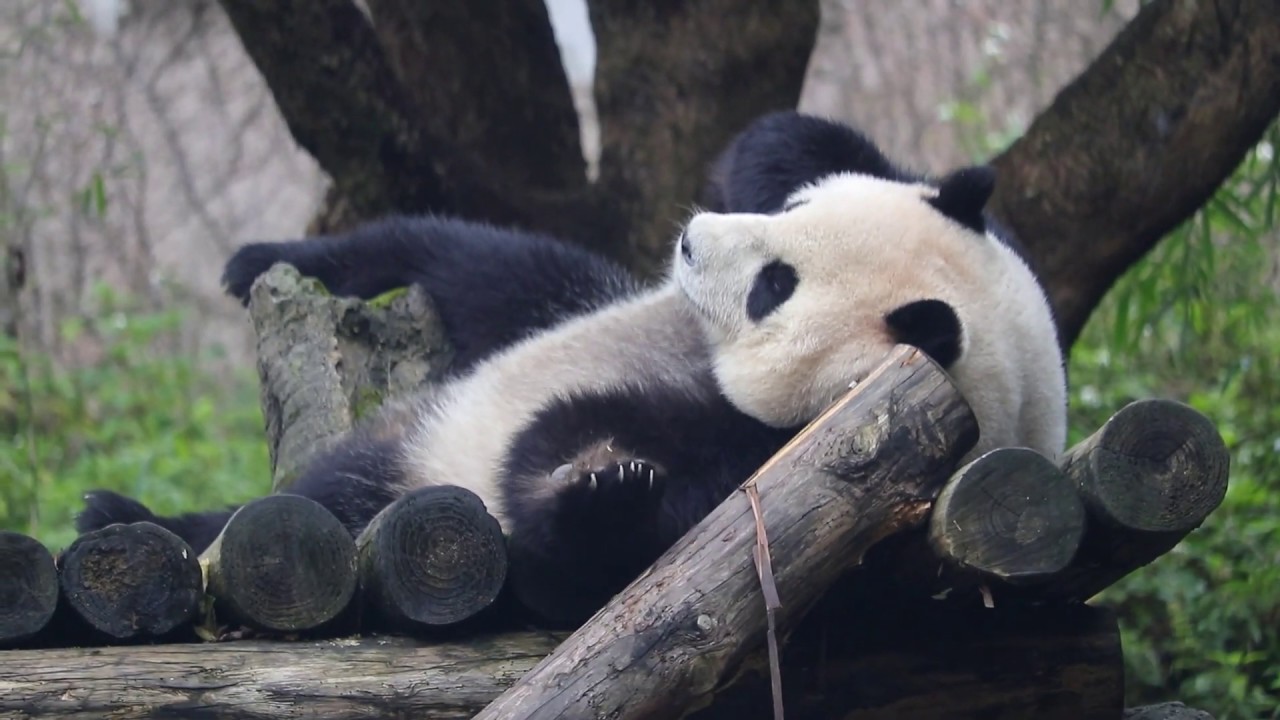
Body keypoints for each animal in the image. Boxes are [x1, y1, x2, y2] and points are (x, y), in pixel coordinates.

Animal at [78, 111, 1066, 627]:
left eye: (773, 289)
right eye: (791, 219)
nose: (690, 239)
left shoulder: (826, 478)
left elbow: (624, 547)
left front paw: (604, 488)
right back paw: (119, 508)